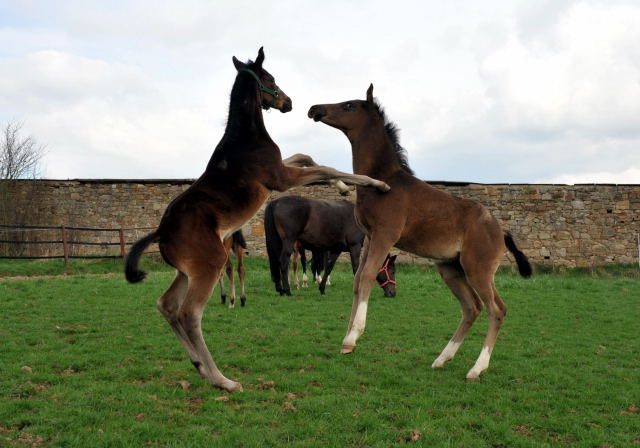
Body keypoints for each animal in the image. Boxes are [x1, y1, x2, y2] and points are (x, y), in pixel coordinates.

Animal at [264, 195, 396, 298]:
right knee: (284, 262)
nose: (392, 293)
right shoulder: (355, 246)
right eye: (392, 270)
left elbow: (329, 267)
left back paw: (281, 290)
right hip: (289, 242)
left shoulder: (336, 250)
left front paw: (322, 289)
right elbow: (356, 268)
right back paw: (287, 291)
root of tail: (276, 202)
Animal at [308, 84, 532, 378]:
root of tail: (500, 230)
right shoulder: (370, 236)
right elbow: (358, 280)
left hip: (478, 269)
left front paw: (353, 336)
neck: (384, 181)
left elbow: (366, 276)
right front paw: (347, 340)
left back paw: (476, 368)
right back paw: (442, 358)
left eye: (349, 105)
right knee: (472, 307)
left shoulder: (385, 235)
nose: (315, 109)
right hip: (450, 269)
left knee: (496, 309)